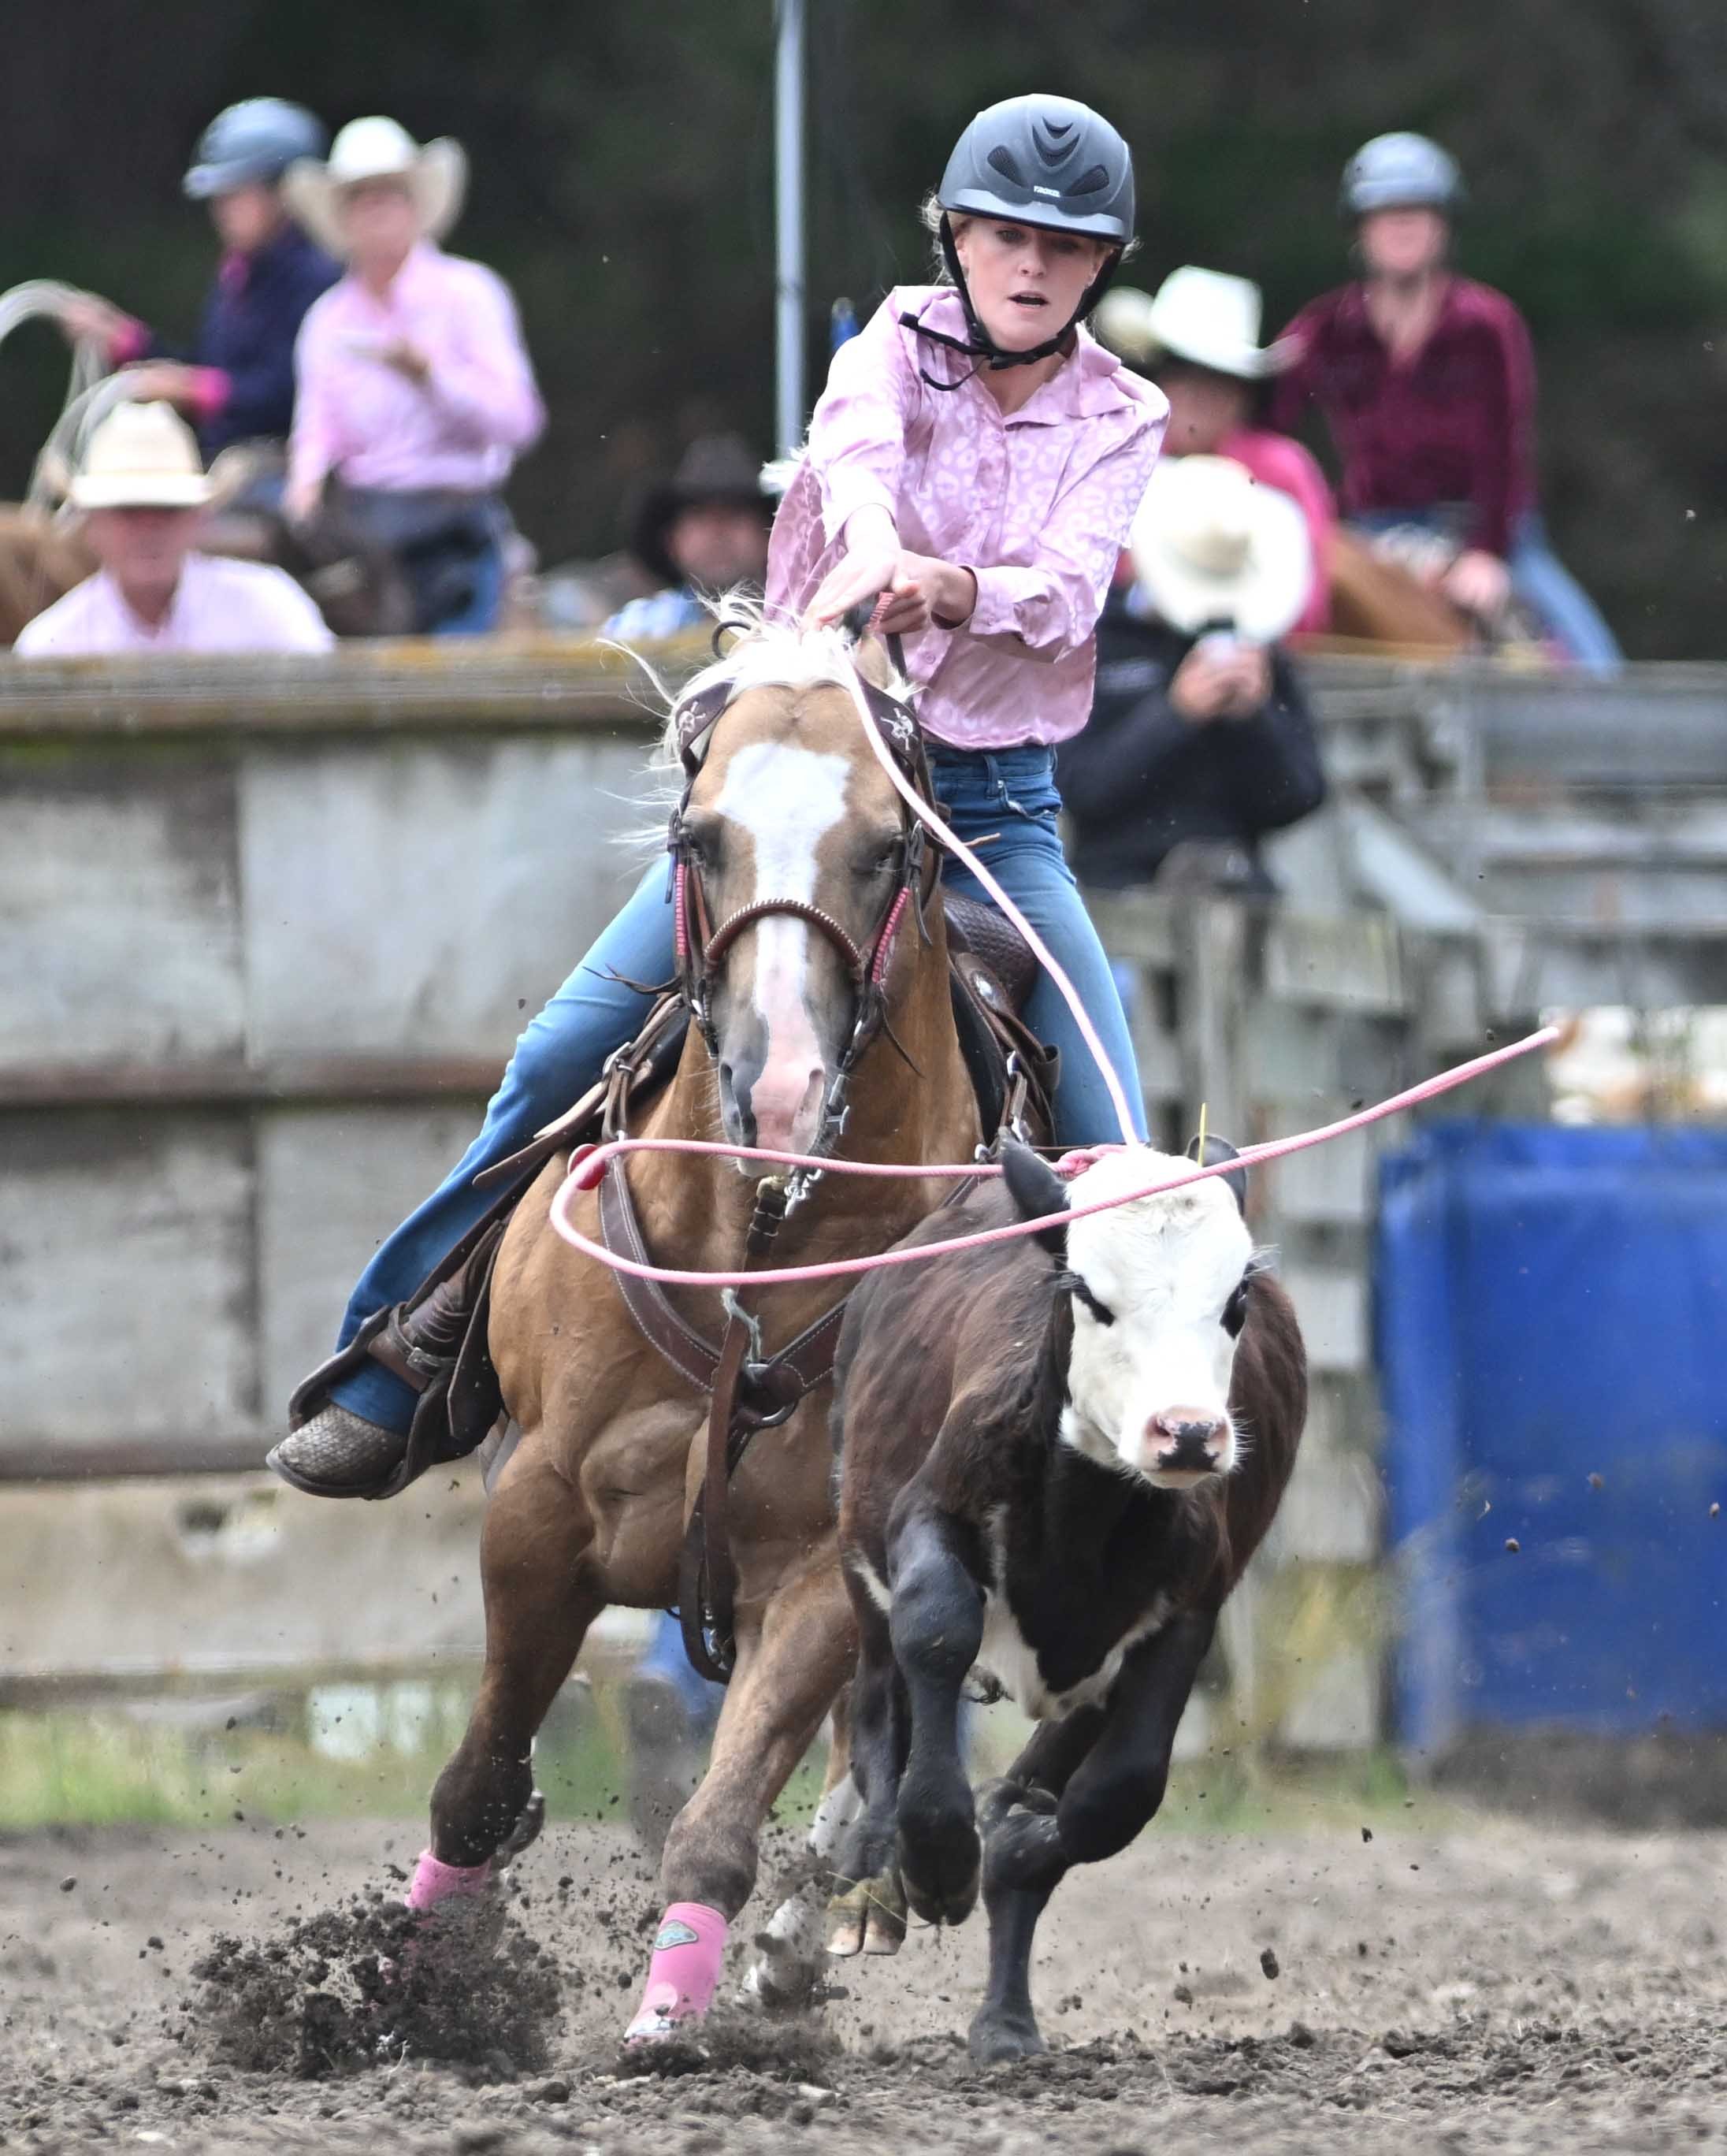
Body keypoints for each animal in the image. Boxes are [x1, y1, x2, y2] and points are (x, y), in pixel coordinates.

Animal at [418, 620, 991, 2035]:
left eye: (883, 848)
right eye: (699, 837)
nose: (777, 1089)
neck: (758, 1245)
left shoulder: (821, 1569)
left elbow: (723, 1822)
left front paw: (671, 2012)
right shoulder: (537, 1506)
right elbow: (479, 1780)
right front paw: (403, 1987)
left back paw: (817, 1922)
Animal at [827, 1138, 1302, 2061]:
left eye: (1234, 1301)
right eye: (1089, 1293)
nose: (1188, 1433)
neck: (1086, 1524)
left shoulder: (1189, 1604)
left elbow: (1119, 1792)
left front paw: (1010, 1837)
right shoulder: (928, 1512)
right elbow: (935, 1630)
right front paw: (938, 1856)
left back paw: (1005, 2018)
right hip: (856, 1547)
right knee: (875, 1702)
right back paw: (870, 1876)